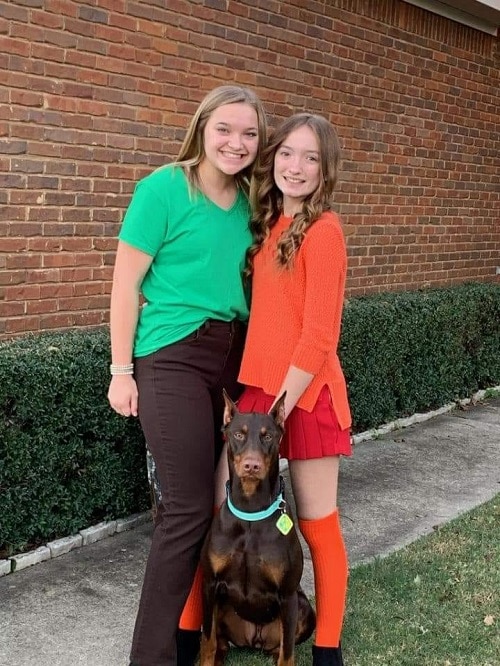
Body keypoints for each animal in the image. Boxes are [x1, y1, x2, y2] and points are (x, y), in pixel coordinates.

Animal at [199, 390, 316, 666]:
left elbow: (288, 653)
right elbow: (207, 640)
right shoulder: (210, 584)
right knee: (220, 642)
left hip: (303, 608)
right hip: (224, 607)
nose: (251, 465)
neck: (250, 513)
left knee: (281, 645)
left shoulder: (287, 594)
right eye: (238, 434)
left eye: (268, 436)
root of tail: (254, 640)